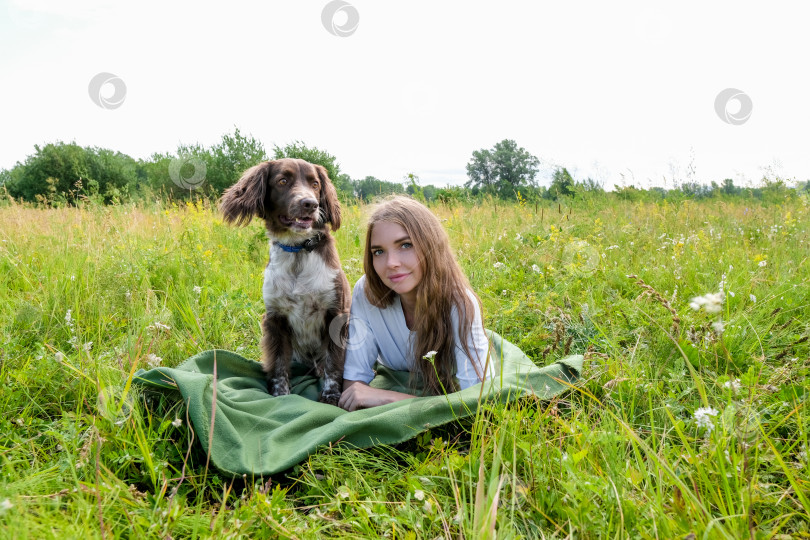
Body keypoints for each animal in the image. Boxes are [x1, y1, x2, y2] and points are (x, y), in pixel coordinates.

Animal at [219, 158, 348, 402]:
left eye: (315, 184)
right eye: (282, 181)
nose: (310, 204)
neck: (298, 250)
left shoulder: (335, 314)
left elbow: (333, 363)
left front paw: (331, 396)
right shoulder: (275, 318)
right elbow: (278, 363)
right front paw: (281, 396)